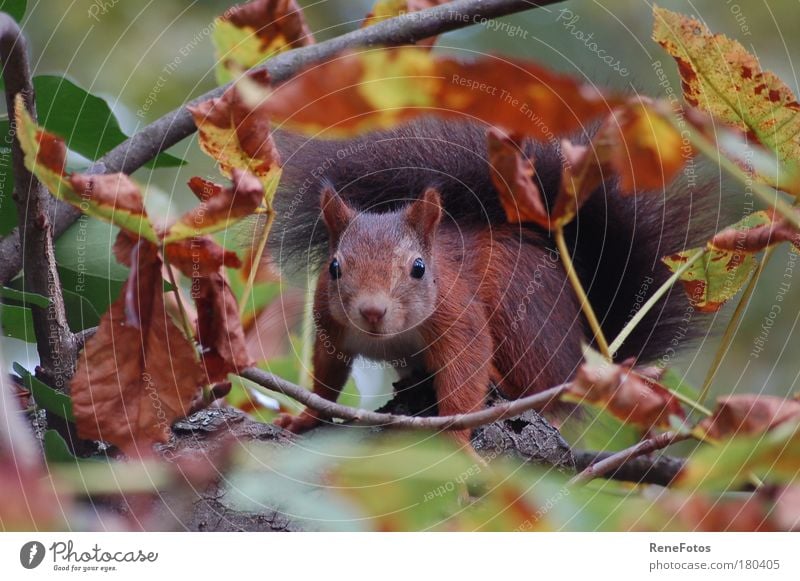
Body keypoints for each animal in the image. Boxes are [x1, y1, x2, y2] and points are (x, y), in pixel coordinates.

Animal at [268, 118, 720, 444]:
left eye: (418, 268)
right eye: (334, 267)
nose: (372, 311)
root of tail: (582, 359)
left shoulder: (457, 314)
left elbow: (466, 371)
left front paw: (458, 440)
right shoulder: (332, 325)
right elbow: (325, 379)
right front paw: (306, 417)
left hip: (518, 311)